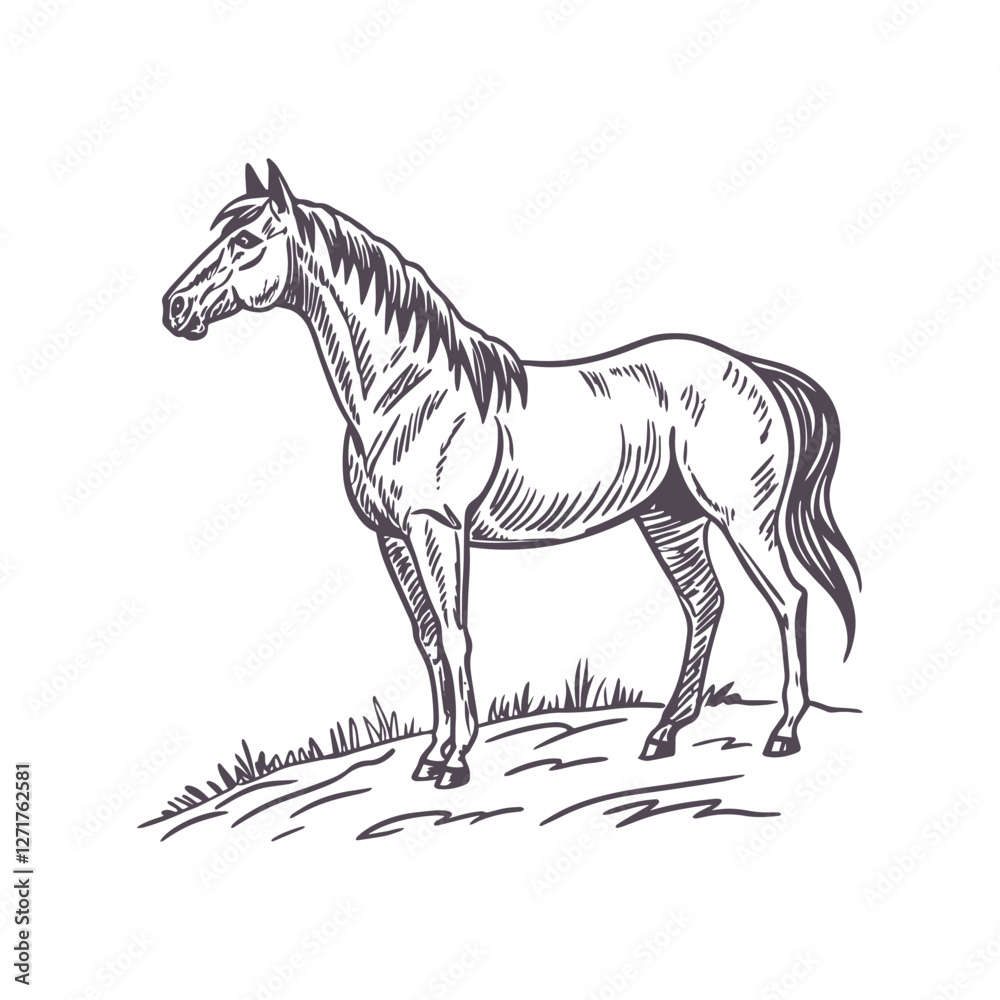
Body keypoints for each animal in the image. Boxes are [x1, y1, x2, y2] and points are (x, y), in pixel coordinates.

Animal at [163, 160, 860, 790]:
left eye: (246, 241)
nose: (175, 308)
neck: (405, 392)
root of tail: (750, 367)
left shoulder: (437, 528)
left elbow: (454, 635)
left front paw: (455, 762)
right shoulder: (393, 538)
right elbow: (426, 640)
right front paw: (431, 755)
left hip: (746, 518)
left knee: (788, 600)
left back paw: (783, 733)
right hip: (672, 518)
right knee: (705, 605)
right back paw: (663, 735)